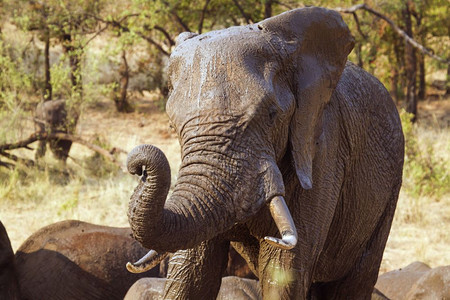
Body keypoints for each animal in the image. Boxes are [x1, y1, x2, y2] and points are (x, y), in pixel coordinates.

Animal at [124, 6, 404, 300]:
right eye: (173, 126)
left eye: (272, 116)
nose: (138, 166)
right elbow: (191, 273)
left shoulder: (323, 148)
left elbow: (283, 271)